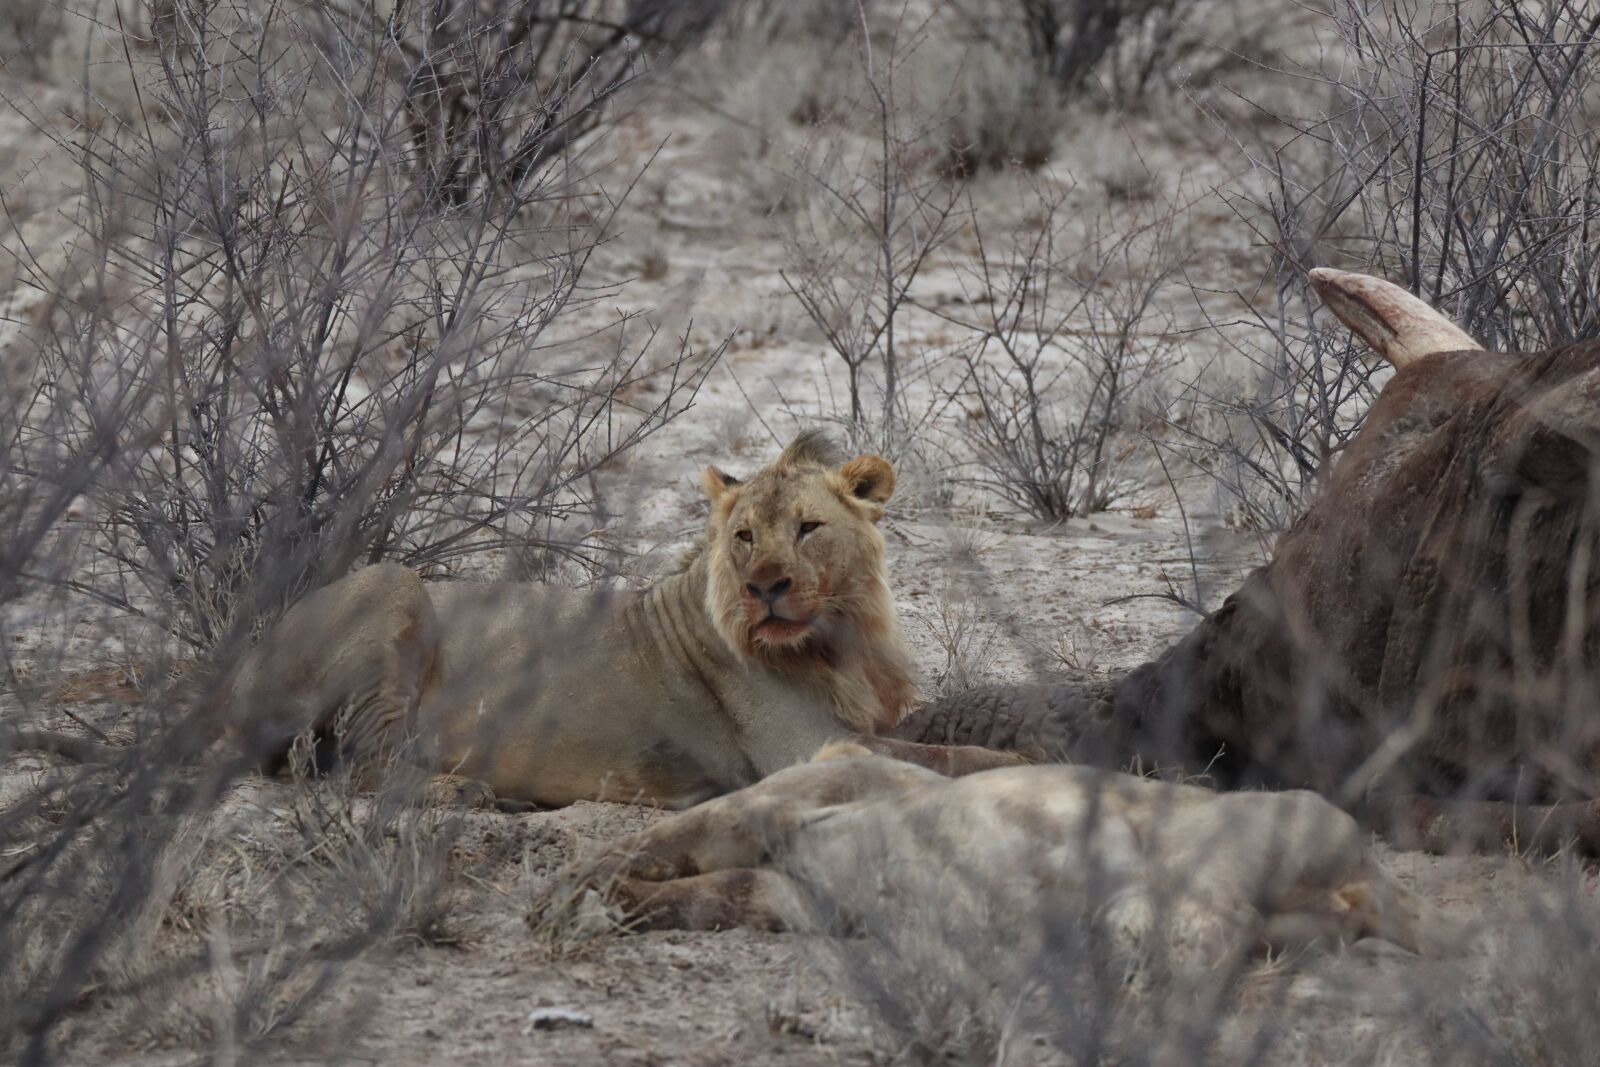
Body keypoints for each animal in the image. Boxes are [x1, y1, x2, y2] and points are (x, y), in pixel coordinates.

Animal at [222, 428, 1024, 806]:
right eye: (743, 536)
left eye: (807, 528)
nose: (764, 586)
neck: (844, 637)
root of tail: (244, 664)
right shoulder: (804, 749)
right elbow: (947, 759)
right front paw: (1015, 762)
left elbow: (933, 741)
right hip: (393, 589)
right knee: (359, 763)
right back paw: (465, 791)